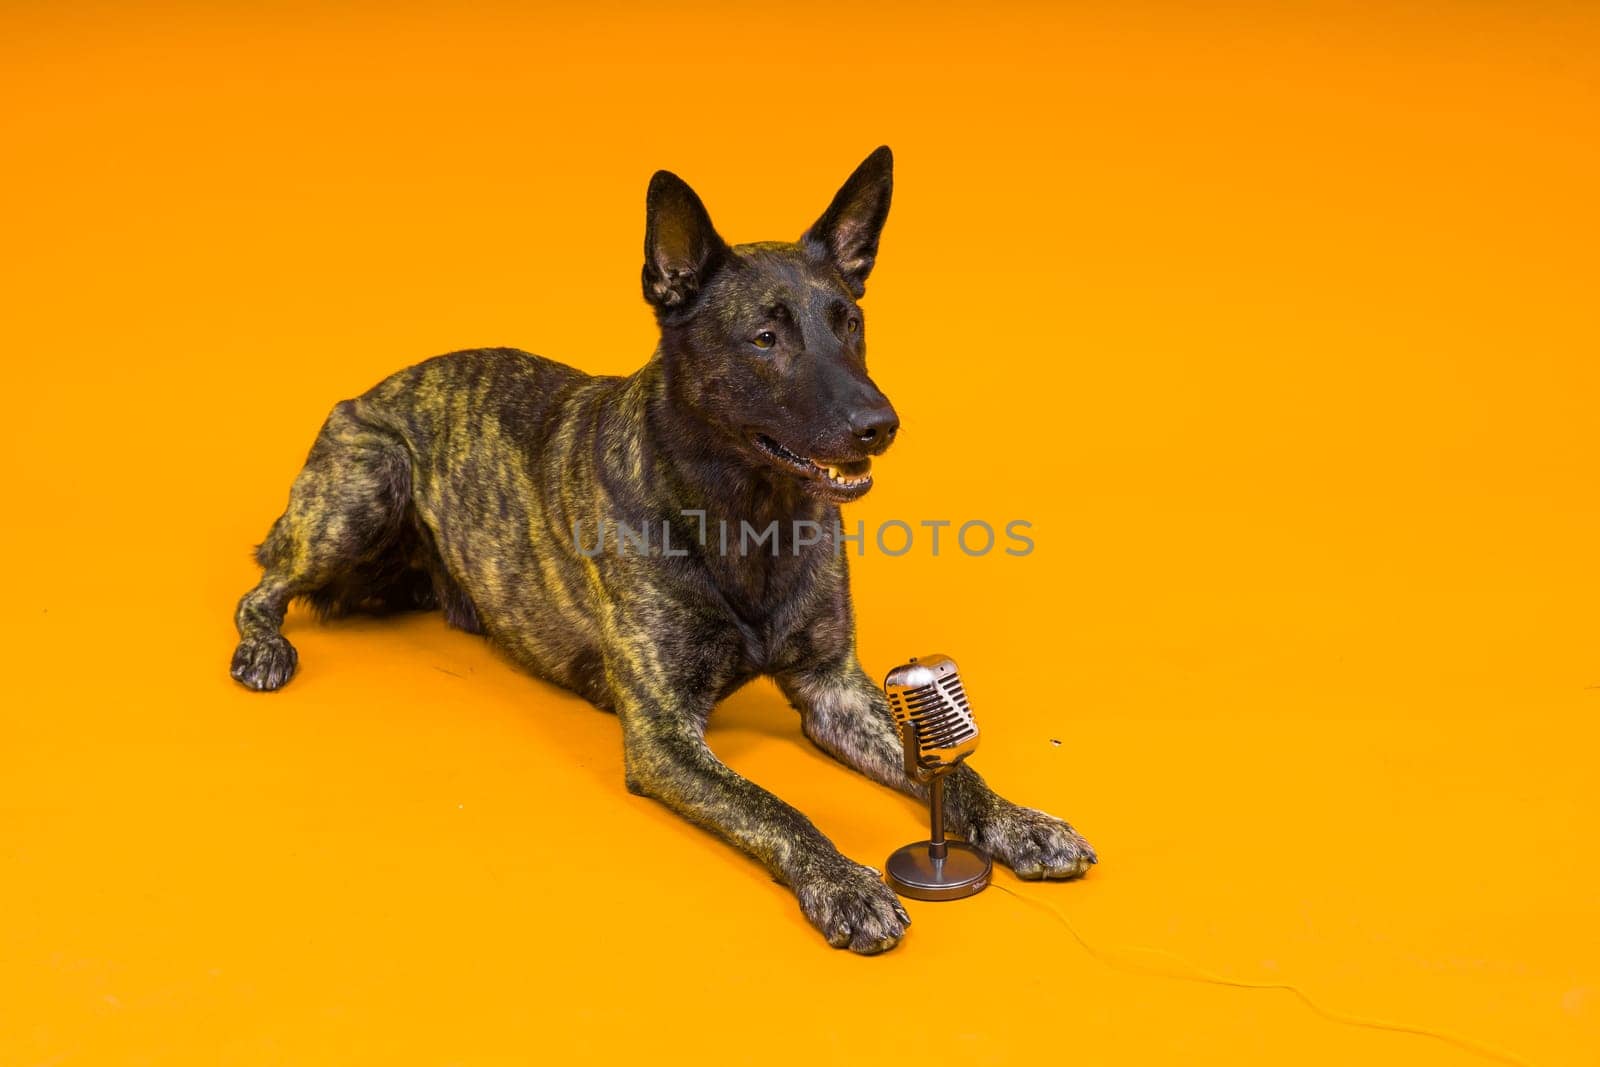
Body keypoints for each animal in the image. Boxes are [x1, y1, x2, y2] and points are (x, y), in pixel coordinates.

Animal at [232, 146, 1094, 953]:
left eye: (848, 322)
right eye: (765, 337)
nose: (880, 424)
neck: (745, 511)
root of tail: (374, 388)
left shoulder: (837, 689)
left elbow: (957, 770)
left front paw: (1020, 821)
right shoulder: (664, 736)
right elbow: (773, 805)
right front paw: (844, 882)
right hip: (368, 484)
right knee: (263, 587)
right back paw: (264, 647)